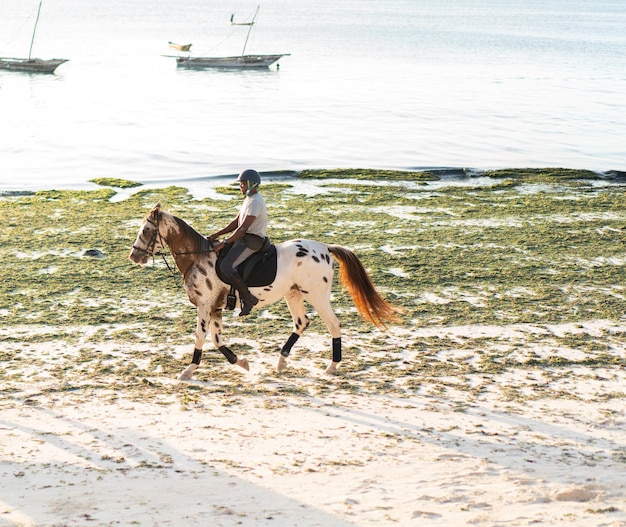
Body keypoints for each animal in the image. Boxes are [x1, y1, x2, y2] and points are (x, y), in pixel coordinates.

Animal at [129, 204, 398, 382]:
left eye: (146, 231)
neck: (198, 257)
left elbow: (200, 338)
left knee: (333, 325)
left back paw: (331, 367)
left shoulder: (205, 307)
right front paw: (242, 363)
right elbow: (217, 340)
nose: (134, 256)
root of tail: (324, 248)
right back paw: (281, 362)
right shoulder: (215, 308)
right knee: (301, 323)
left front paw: (188, 371)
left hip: (316, 296)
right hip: (293, 294)